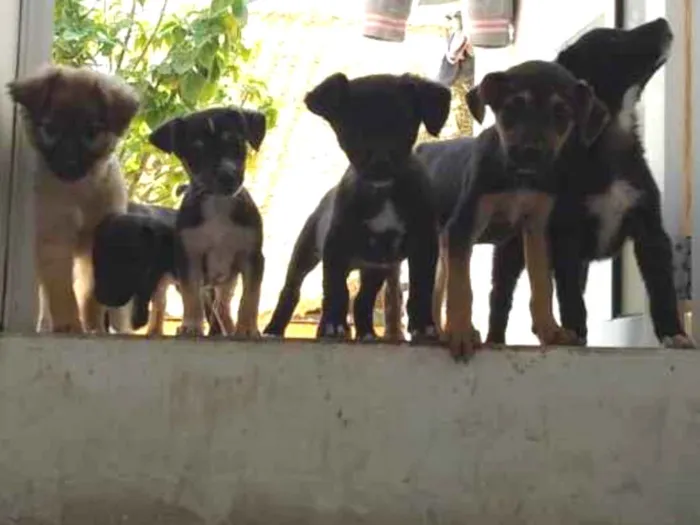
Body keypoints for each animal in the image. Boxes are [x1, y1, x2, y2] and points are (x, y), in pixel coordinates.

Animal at [7, 64, 139, 332]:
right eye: (50, 129)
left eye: (91, 132)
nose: (69, 164)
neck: (79, 191)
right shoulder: (54, 239)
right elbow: (61, 291)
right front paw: (69, 324)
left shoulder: (98, 244)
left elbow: (91, 293)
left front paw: (93, 326)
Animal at [148, 106, 266, 336]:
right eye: (196, 151)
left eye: (236, 143)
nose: (227, 178)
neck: (218, 204)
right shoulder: (189, 259)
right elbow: (191, 295)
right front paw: (192, 326)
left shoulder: (253, 258)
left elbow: (250, 297)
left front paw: (247, 329)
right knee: (161, 303)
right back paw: (156, 331)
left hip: (227, 281)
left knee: (222, 306)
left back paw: (230, 328)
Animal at [266, 71, 452, 340]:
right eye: (353, 132)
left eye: (404, 128)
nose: (380, 164)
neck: (383, 192)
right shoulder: (335, 246)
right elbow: (335, 290)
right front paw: (334, 324)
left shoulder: (423, 244)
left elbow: (421, 287)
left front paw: (424, 326)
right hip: (306, 251)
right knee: (292, 290)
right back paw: (276, 329)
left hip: (376, 269)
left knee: (362, 300)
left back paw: (366, 333)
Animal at [446, 59, 608, 358]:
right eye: (512, 107)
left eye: (561, 113)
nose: (530, 153)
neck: (519, 179)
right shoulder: (463, 227)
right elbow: (461, 287)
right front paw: (460, 330)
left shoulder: (536, 230)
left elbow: (542, 285)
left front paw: (550, 330)